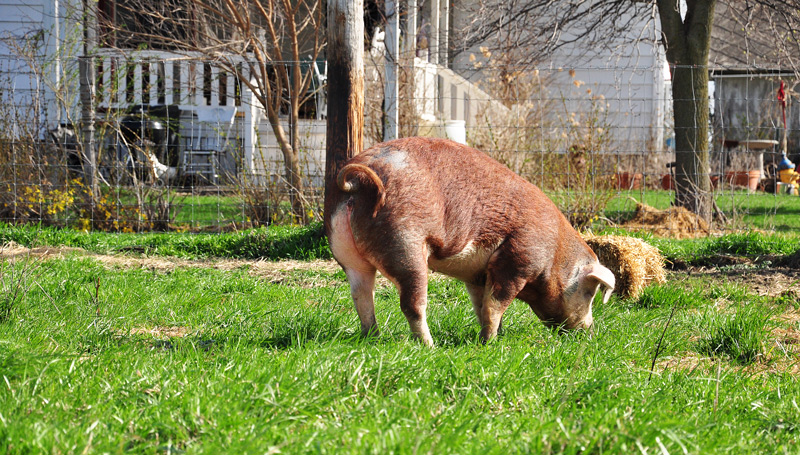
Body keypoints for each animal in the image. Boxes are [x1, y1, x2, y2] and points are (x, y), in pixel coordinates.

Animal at [327, 137, 615, 346]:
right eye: (589, 292)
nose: (590, 333)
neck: (555, 254)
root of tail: (360, 179)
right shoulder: (518, 259)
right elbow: (496, 304)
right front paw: (489, 344)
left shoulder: (477, 275)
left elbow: (480, 305)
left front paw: (492, 336)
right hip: (406, 244)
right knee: (412, 303)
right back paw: (430, 346)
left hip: (346, 254)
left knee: (362, 296)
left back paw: (372, 338)